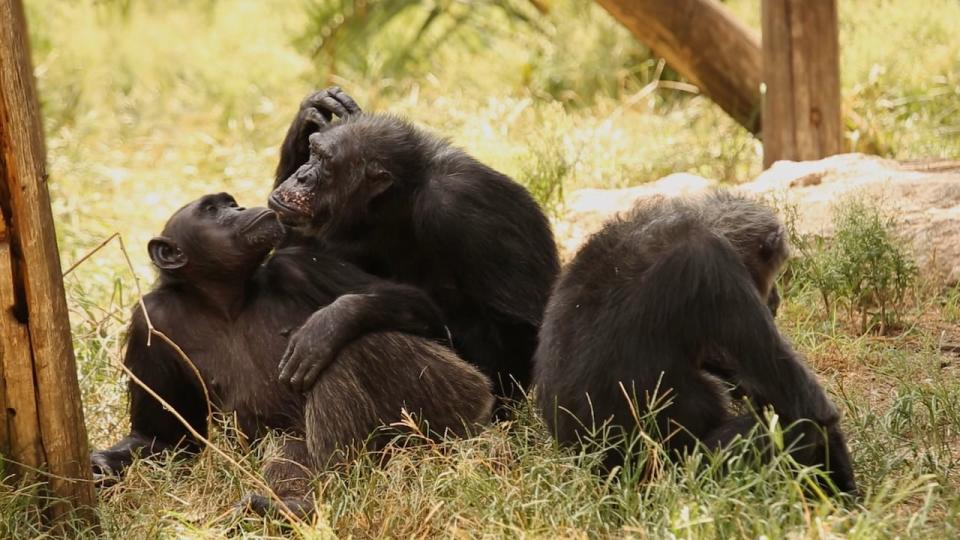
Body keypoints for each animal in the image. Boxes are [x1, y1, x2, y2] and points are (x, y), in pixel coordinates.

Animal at [88, 193, 496, 516]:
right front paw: (102, 465)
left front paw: (330, 323)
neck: (225, 299)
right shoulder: (148, 321)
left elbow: (422, 308)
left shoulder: (299, 264)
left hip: (456, 405)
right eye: (213, 210)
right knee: (290, 444)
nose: (239, 208)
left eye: (228, 203)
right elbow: (161, 438)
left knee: (355, 351)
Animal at [268, 87, 564, 404]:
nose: (302, 175)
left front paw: (339, 318)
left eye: (325, 161)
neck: (400, 198)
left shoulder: (465, 204)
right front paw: (310, 112)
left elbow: (517, 326)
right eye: (312, 151)